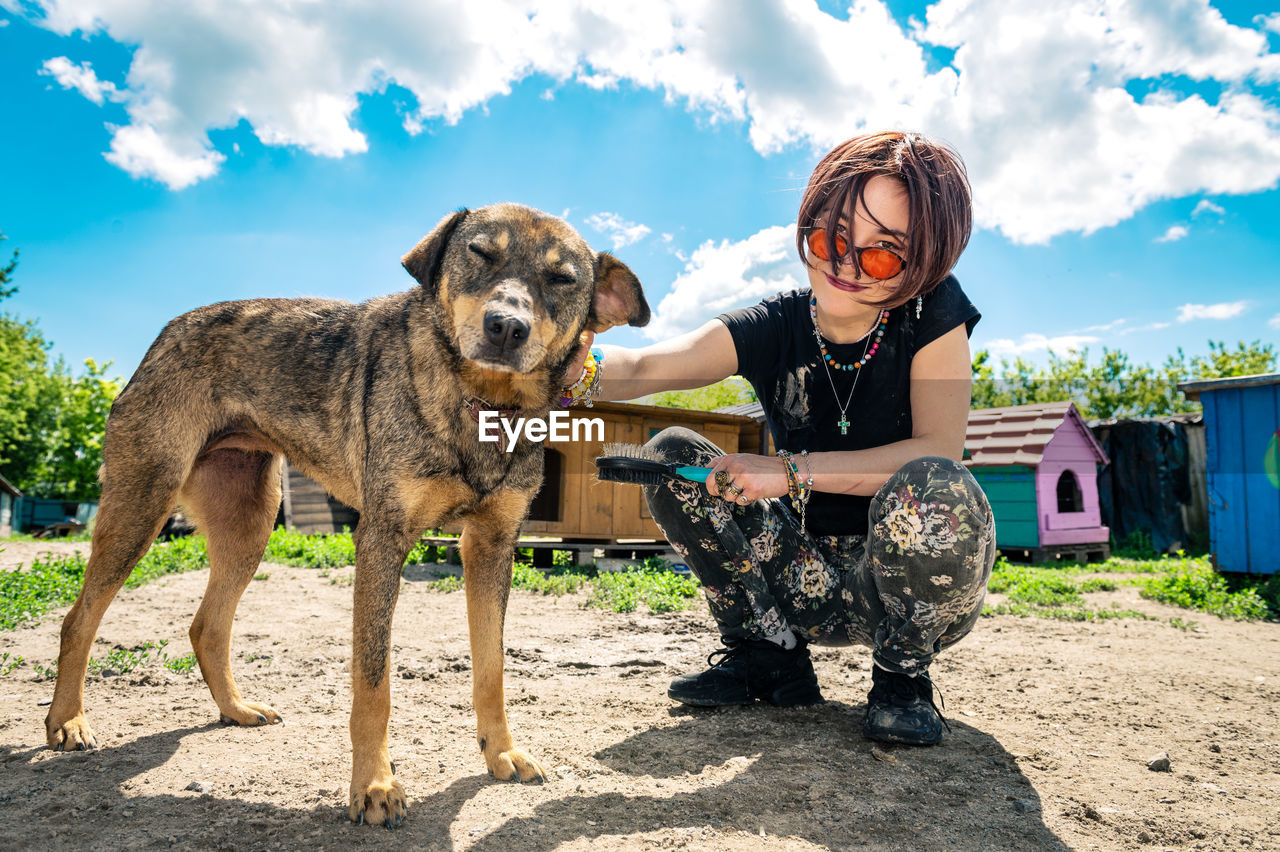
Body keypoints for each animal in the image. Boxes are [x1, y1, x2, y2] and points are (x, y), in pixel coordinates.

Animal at [43, 202, 650, 823]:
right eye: (480, 253)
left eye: (562, 279)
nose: (506, 326)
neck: (481, 402)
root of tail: (168, 330)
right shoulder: (382, 540)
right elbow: (374, 683)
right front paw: (375, 785)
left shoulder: (491, 546)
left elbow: (492, 668)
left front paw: (500, 751)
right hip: (141, 507)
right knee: (78, 619)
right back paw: (67, 722)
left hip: (249, 526)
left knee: (206, 626)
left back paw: (235, 709)